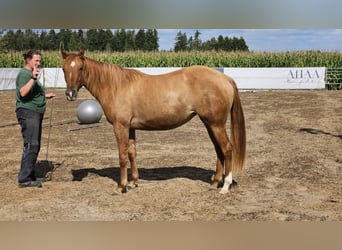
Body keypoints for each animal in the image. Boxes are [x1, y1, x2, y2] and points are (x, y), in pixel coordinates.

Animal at [61, 48, 246, 193]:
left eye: (80, 68)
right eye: (63, 69)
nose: (70, 94)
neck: (115, 86)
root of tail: (225, 79)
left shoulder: (120, 126)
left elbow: (122, 155)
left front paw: (121, 186)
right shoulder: (130, 127)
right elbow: (132, 153)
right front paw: (133, 182)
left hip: (216, 124)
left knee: (227, 148)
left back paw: (225, 186)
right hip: (210, 124)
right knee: (218, 150)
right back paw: (215, 183)